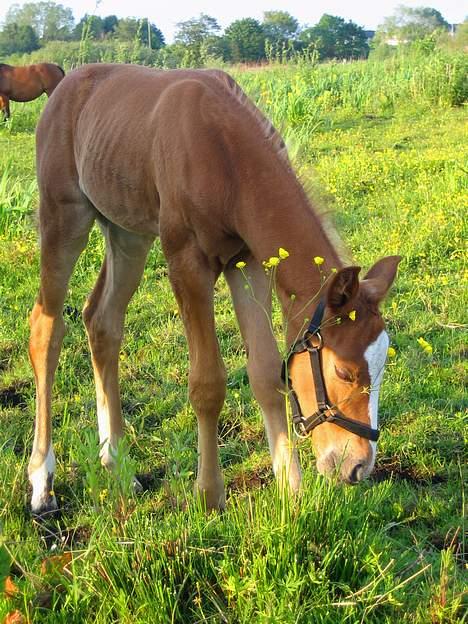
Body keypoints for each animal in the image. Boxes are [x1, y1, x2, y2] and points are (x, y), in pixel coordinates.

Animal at [29, 63, 400, 516]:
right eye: (344, 371)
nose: (358, 466)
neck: (225, 154)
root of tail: (63, 87)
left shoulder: (248, 261)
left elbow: (266, 373)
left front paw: (290, 490)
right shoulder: (187, 261)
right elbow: (207, 383)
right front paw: (209, 495)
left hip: (127, 233)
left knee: (102, 321)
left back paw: (116, 462)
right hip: (64, 218)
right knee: (46, 328)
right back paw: (41, 480)